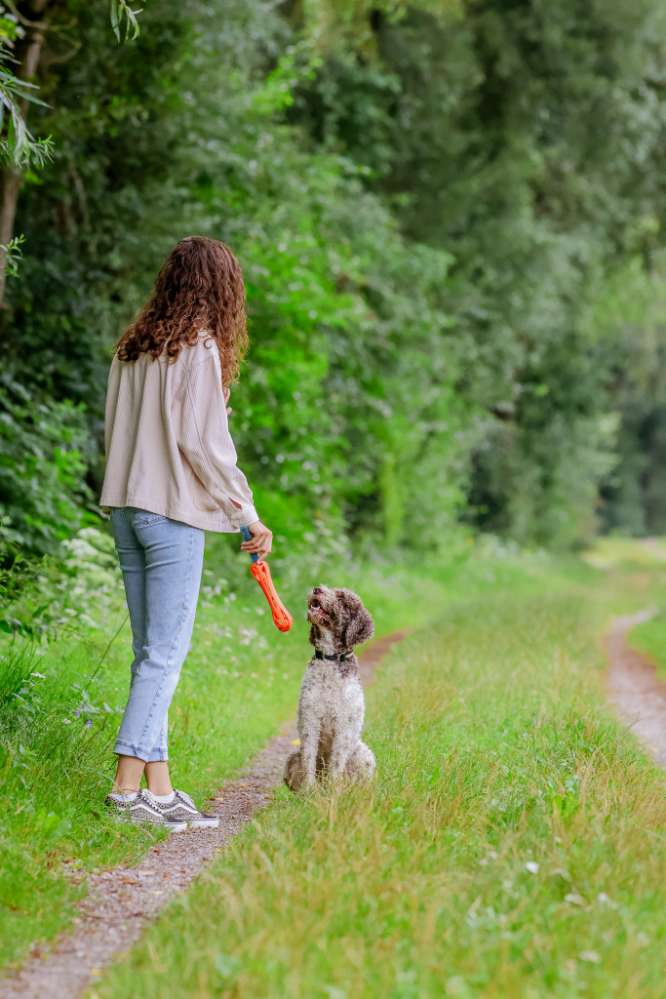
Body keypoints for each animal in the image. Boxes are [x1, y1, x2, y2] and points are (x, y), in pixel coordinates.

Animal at [285, 585, 376, 791]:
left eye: (341, 598)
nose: (317, 589)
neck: (330, 658)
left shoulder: (344, 725)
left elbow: (337, 762)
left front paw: (333, 792)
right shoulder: (310, 719)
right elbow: (308, 759)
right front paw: (309, 790)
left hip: (364, 754)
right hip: (292, 758)